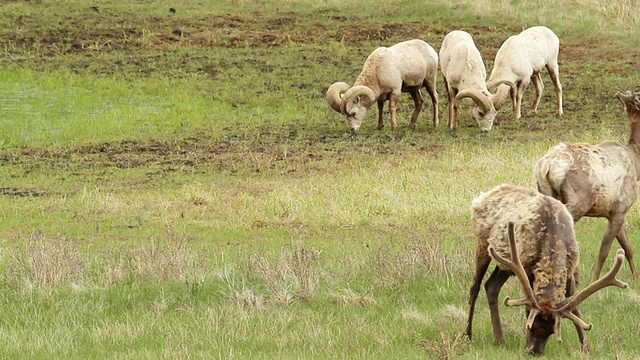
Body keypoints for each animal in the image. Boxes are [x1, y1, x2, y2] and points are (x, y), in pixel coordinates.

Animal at [468, 184, 628, 356]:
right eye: (530, 326)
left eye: (552, 331)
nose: (534, 352)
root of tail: (485, 195)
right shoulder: (527, 268)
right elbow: (528, 305)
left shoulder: (570, 270)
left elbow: (574, 309)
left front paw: (585, 347)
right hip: (483, 243)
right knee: (475, 287)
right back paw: (468, 334)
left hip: (506, 263)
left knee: (491, 285)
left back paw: (500, 339)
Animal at [532, 90, 640, 282]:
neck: (637, 161)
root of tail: (546, 165)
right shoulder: (622, 207)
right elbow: (605, 250)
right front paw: (595, 280)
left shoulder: (613, 211)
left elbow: (627, 247)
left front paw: (635, 279)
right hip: (578, 200)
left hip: (545, 192)